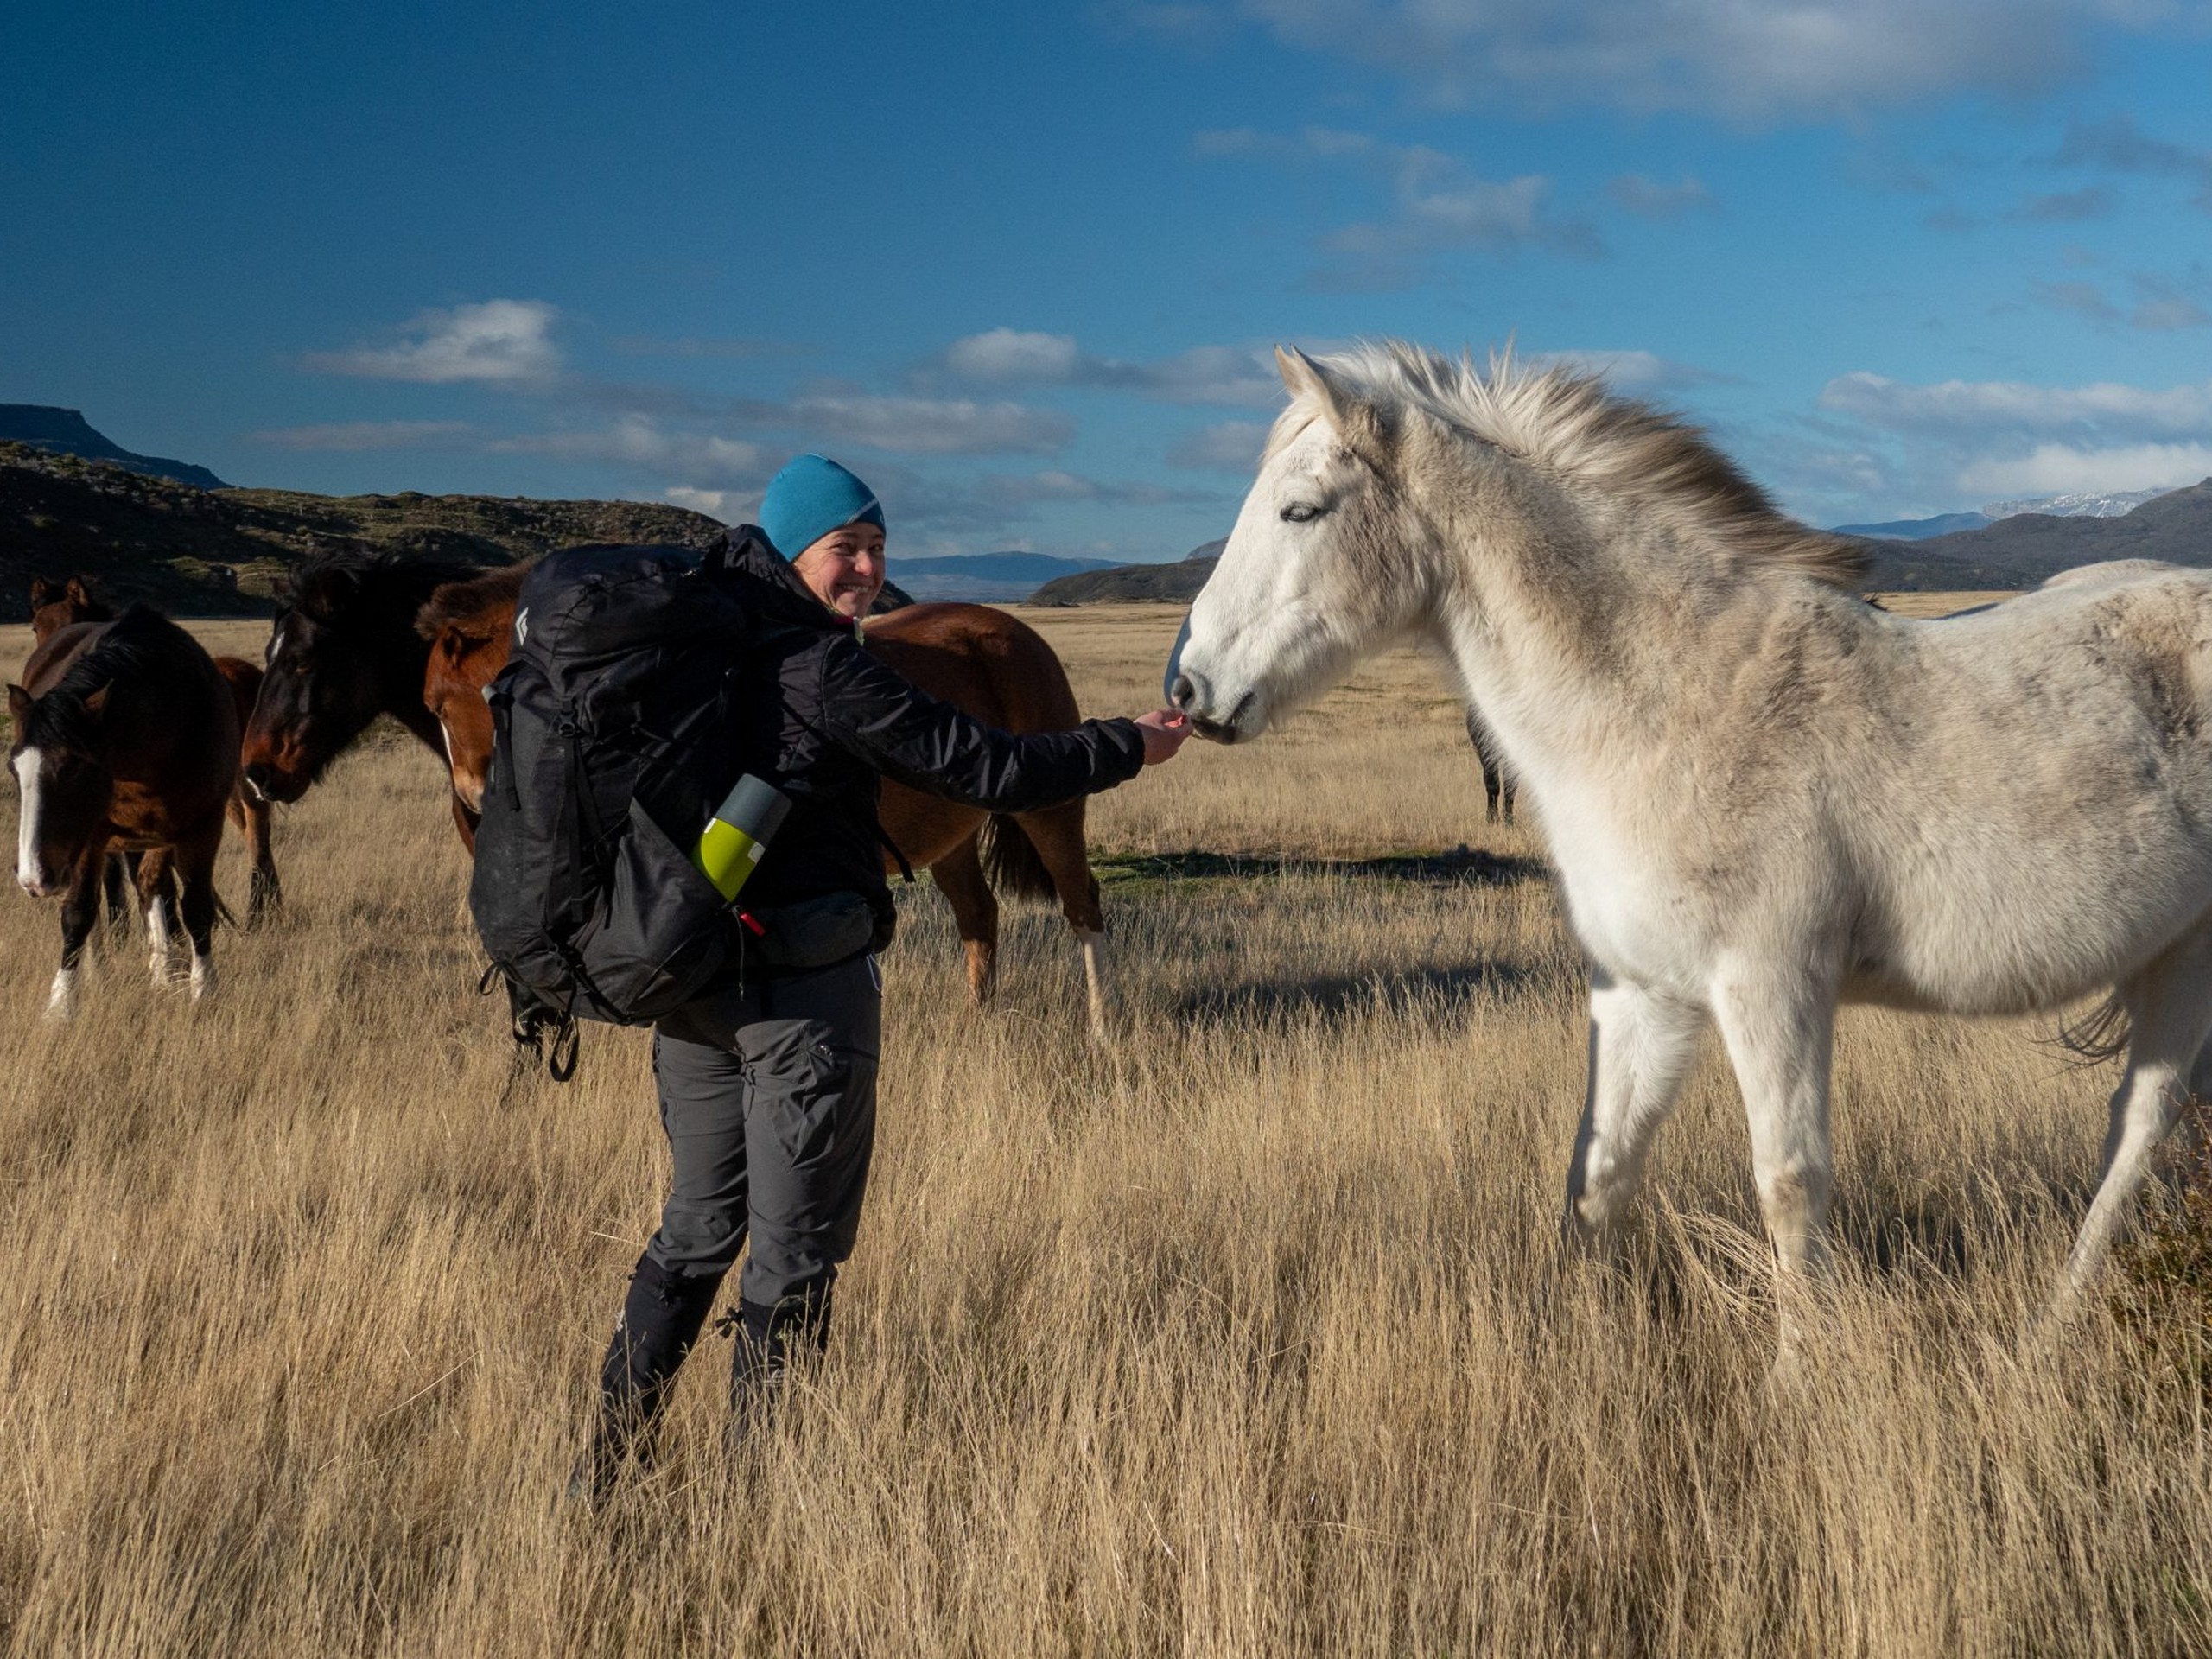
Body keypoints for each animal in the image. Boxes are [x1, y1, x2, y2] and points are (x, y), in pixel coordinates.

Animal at [9, 606, 242, 1021]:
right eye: (13, 769)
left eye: (73, 766)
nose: (33, 878)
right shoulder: (90, 837)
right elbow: (78, 913)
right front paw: (61, 1006)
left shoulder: (202, 827)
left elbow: (196, 907)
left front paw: (203, 992)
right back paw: (99, 972)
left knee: (151, 886)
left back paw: (164, 972)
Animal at [1167, 338, 2212, 1362]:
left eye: (1301, 510)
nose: (1187, 690)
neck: (1672, 695)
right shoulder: (1644, 995)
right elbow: (1598, 1175)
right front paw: (1580, 1344)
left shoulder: (1771, 986)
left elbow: (1788, 1182)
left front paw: (1798, 1374)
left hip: (2189, 965)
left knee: (2140, 1129)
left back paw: (2051, 1328)